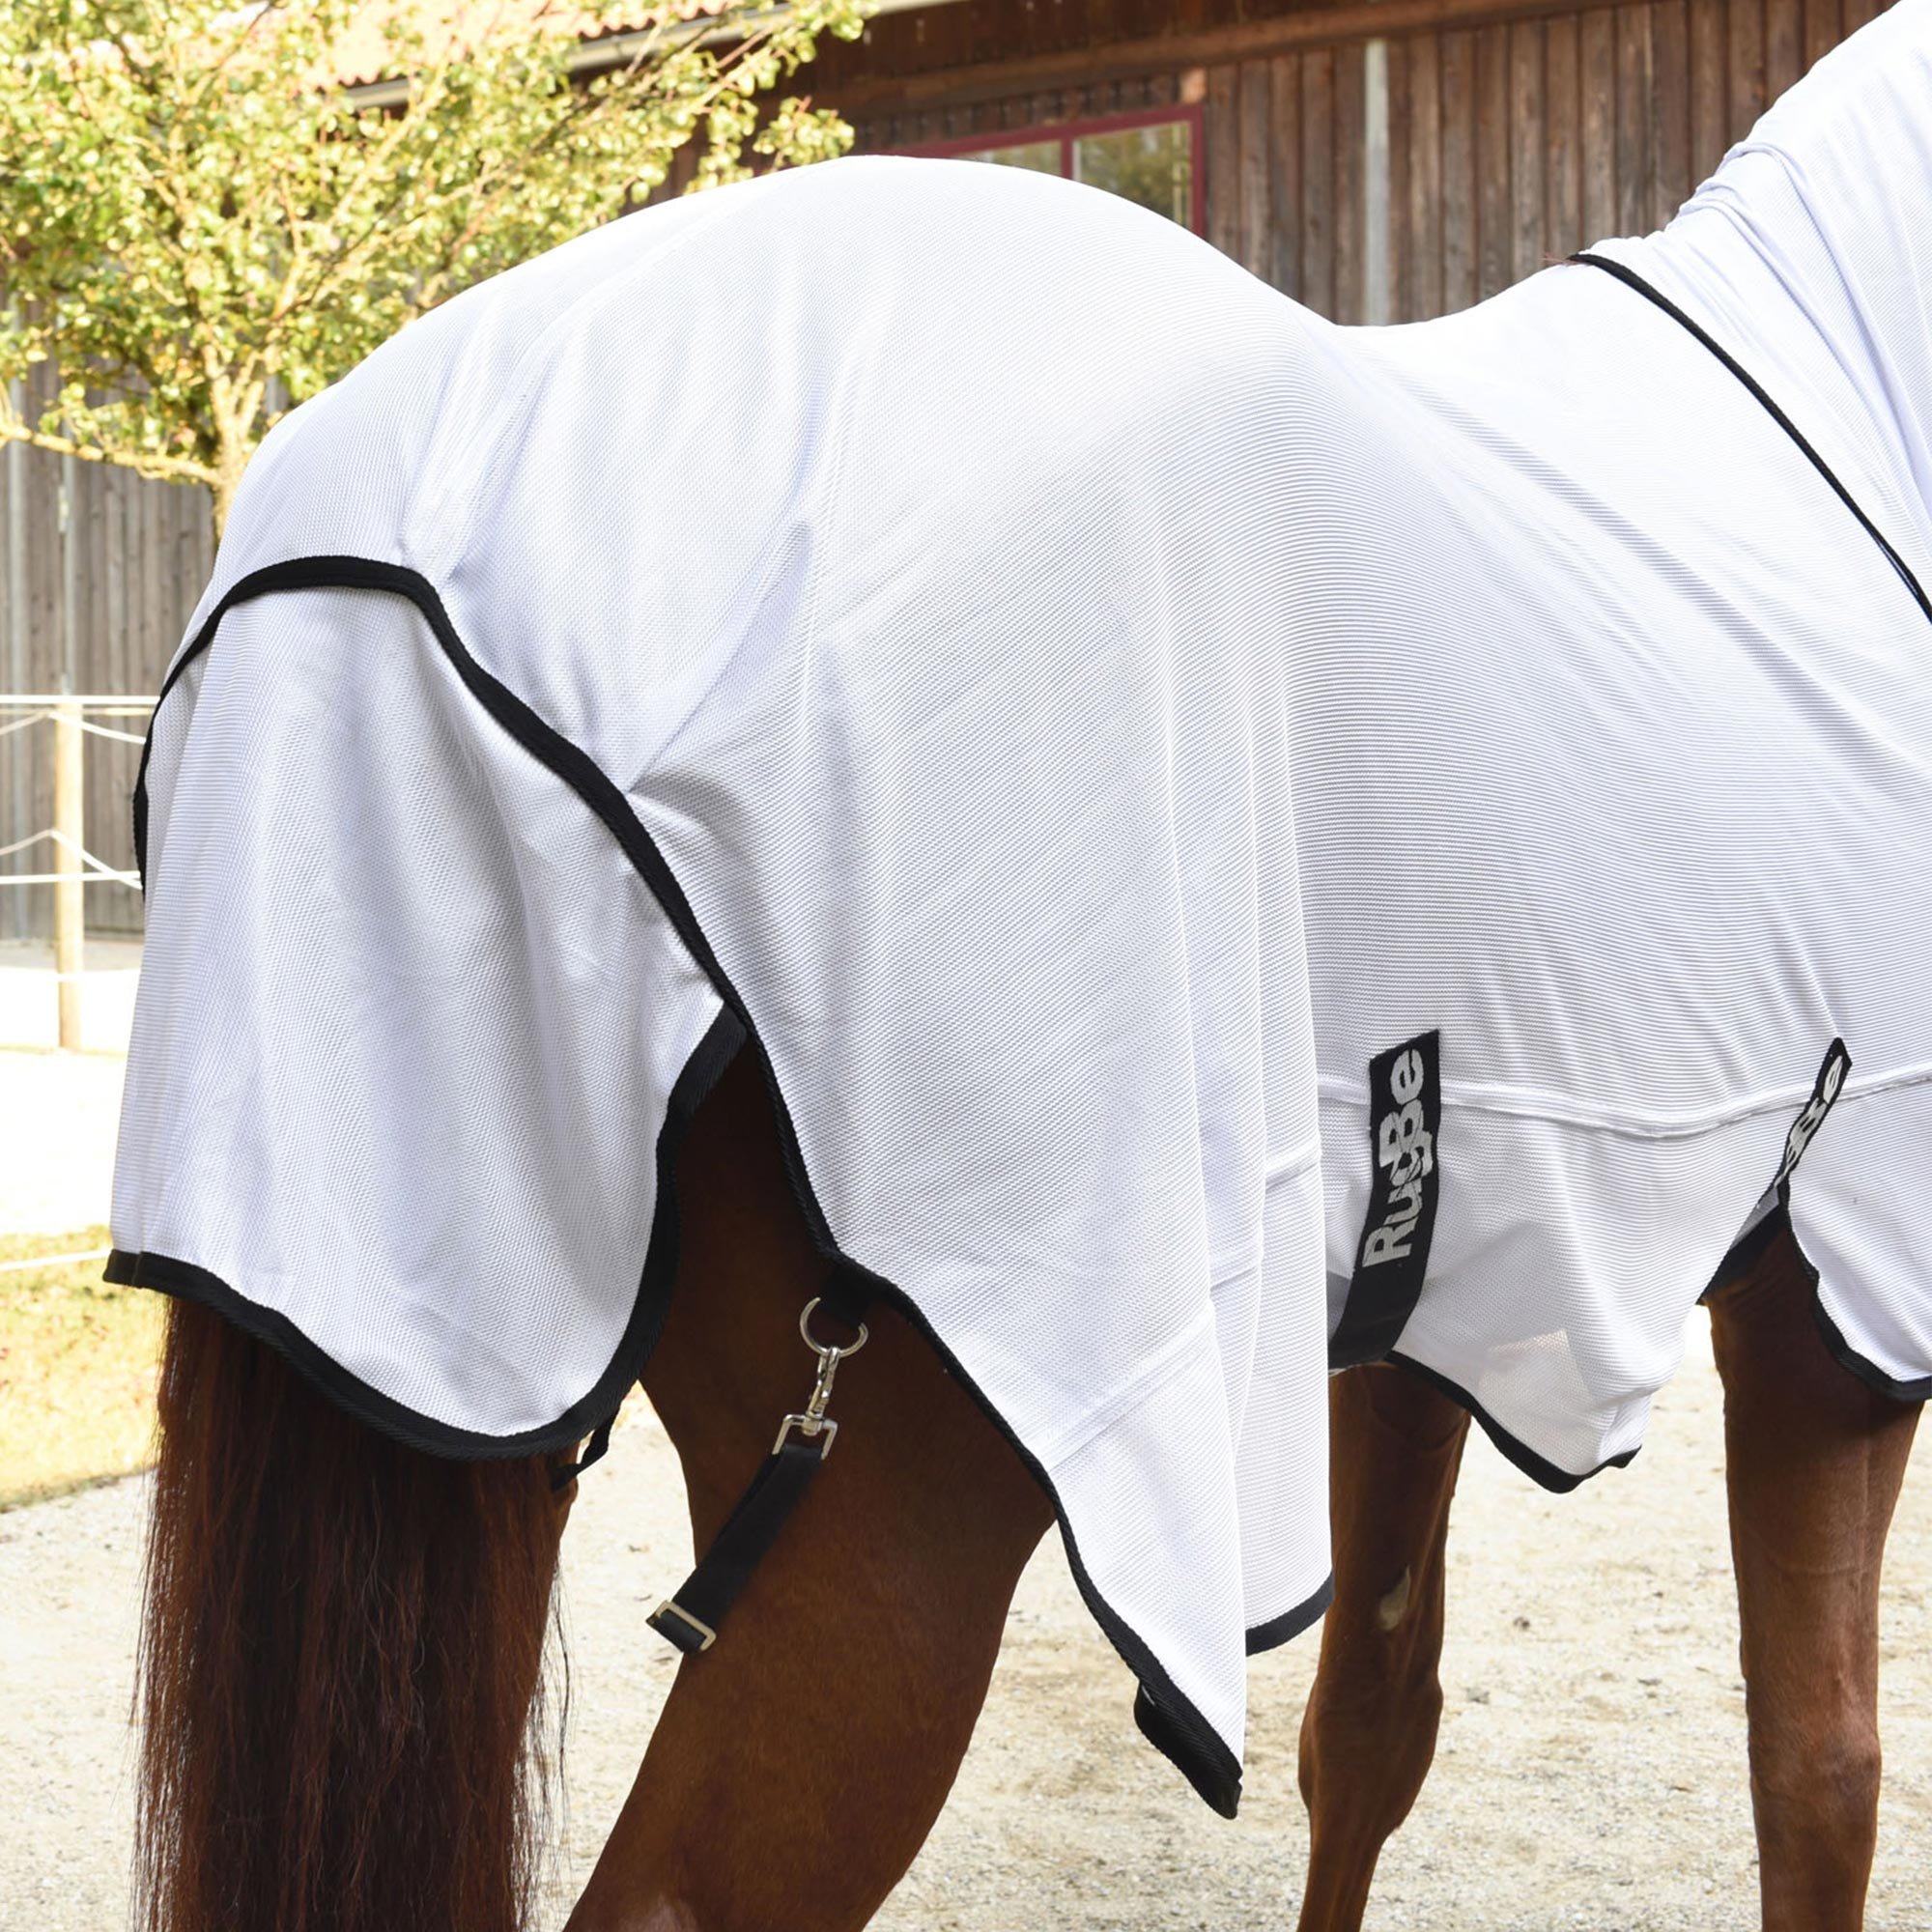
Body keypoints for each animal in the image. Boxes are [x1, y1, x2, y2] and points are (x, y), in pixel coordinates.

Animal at [118, 5, 1931, 1929]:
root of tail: (394, 564)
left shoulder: (1437, 1276)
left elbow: (1372, 1717)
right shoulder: (1837, 1295)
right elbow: (1821, 1777)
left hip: (467, 1370)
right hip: (884, 1526)